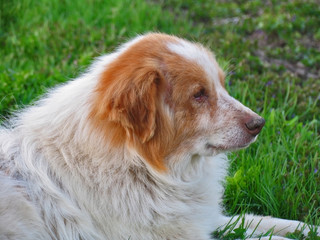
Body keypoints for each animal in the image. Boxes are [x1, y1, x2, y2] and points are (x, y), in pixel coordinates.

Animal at [0, 33, 318, 240]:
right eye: (199, 94)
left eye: (222, 85)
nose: (259, 124)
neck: (140, 166)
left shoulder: (202, 219)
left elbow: (261, 221)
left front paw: (307, 229)